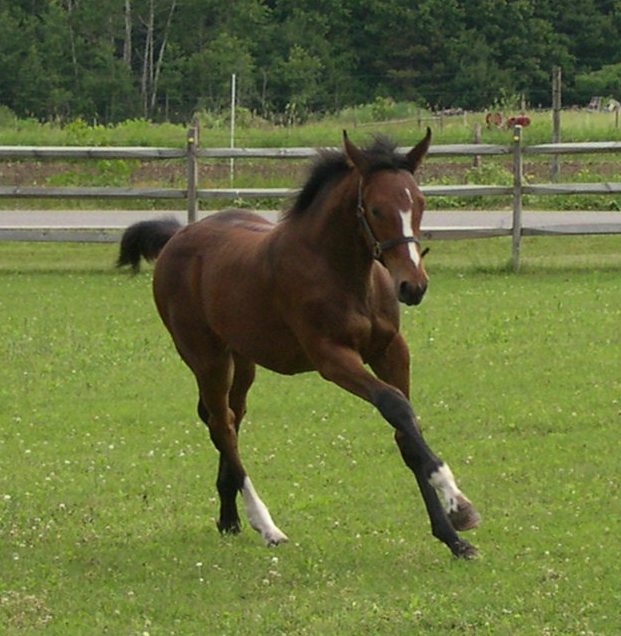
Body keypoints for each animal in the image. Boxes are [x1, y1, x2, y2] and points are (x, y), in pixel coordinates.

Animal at [118, 129, 482, 556]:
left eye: (420, 202)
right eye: (376, 209)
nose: (413, 286)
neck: (345, 273)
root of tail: (177, 236)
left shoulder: (391, 350)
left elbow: (406, 430)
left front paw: (452, 535)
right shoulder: (331, 357)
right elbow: (395, 405)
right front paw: (459, 501)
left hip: (243, 359)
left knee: (230, 417)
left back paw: (229, 516)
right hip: (206, 357)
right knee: (222, 425)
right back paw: (266, 525)